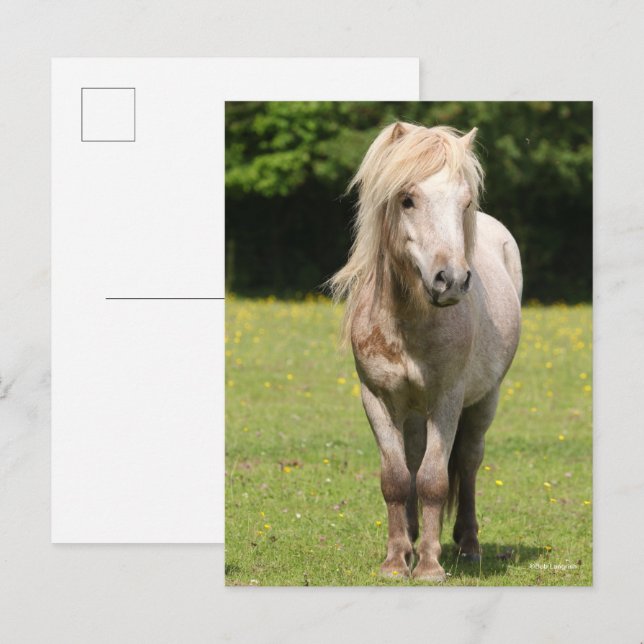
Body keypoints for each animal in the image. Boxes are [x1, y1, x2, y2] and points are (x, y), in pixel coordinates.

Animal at [328, 122, 522, 581]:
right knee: (413, 461)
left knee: (467, 462)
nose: (450, 280)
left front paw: (431, 566)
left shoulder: (446, 399)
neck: (407, 320)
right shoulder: (377, 398)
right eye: (407, 199)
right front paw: (396, 560)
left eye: (465, 201)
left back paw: (468, 545)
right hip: (413, 410)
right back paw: (413, 538)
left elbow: (435, 477)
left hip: (484, 400)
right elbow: (397, 477)